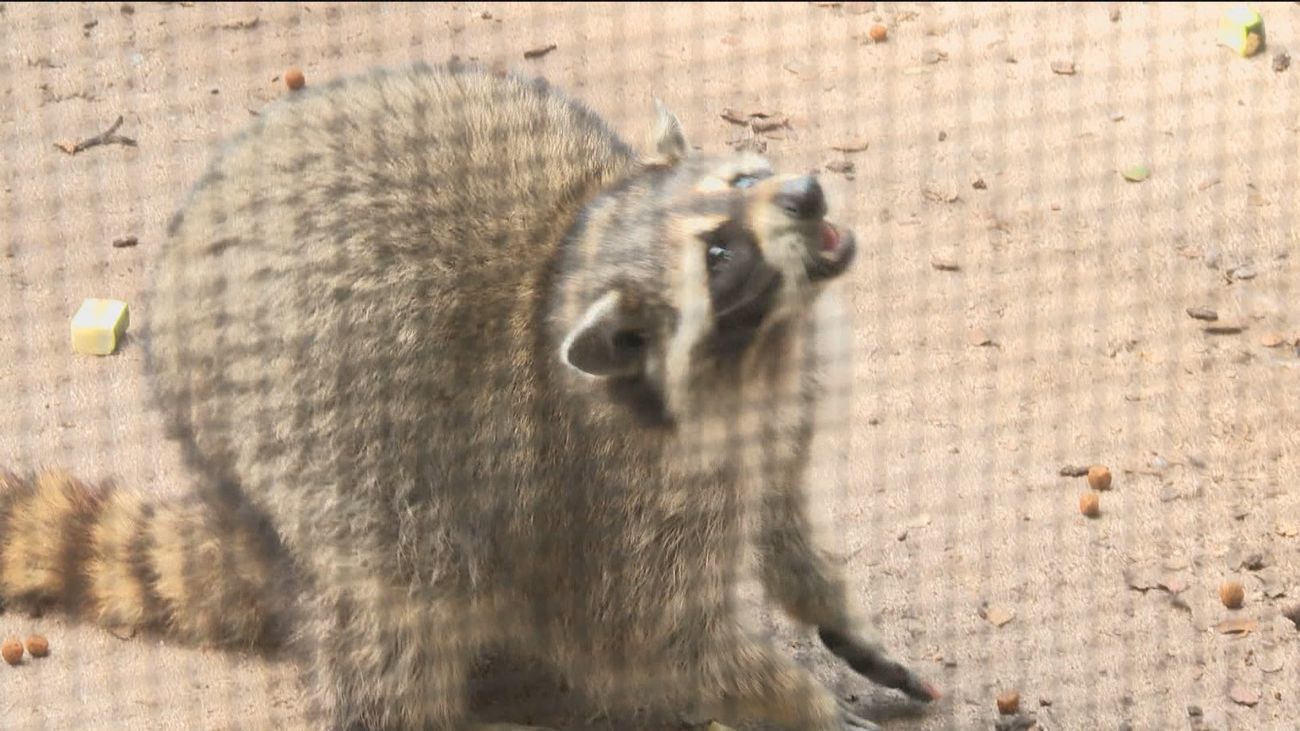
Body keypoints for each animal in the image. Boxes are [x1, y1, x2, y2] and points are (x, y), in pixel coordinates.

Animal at [0, 62, 935, 728]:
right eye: (717, 255)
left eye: (742, 181)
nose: (807, 193)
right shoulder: (613, 496)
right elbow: (652, 636)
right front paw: (797, 700)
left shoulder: (776, 414)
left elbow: (781, 515)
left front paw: (828, 605)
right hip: (327, 489)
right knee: (392, 614)